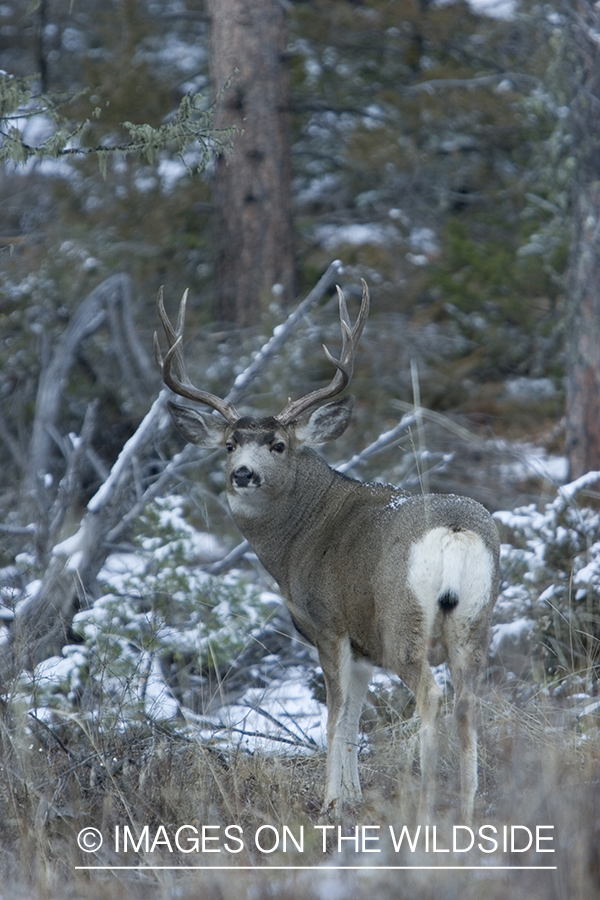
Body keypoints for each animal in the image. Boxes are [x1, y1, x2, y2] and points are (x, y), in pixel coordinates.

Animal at [154, 281, 500, 824]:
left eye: (277, 445)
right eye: (230, 444)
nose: (243, 474)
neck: (301, 534)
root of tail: (455, 530)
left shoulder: (328, 622)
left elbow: (336, 717)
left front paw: (332, 801)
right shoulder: (361, 645)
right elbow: (355, 718)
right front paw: (354, 797)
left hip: (403, 619)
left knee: (432, 697)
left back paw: (424, 804)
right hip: (475, 620)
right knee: (468, 703)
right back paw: (464, 812)